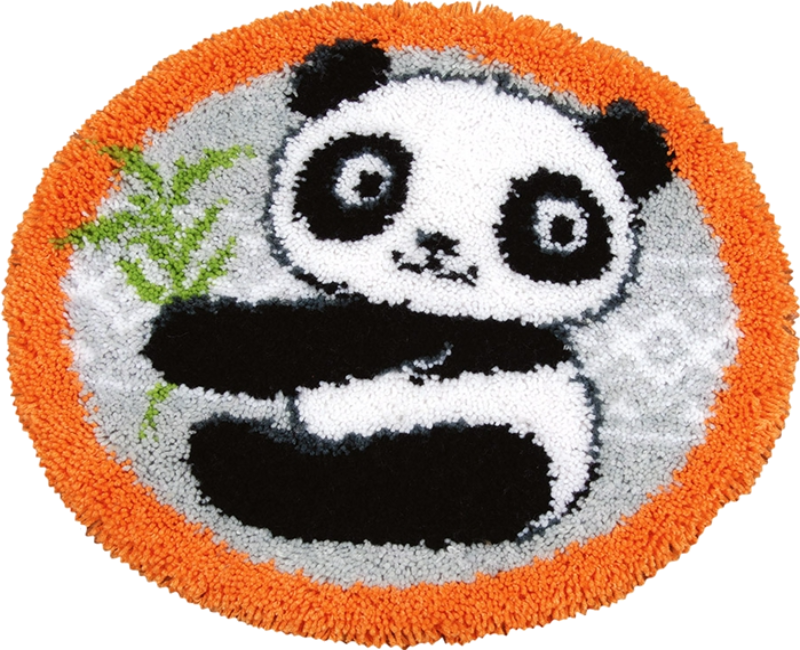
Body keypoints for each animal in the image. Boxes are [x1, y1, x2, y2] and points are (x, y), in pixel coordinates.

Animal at [143, 40, 673, 550]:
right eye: (365, 181)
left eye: (560, 227)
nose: (439, 243)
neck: (440, 309)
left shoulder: (429, 327)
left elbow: (320, 340)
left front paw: (182, 338)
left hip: (511, 450)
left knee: (389, 488)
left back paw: (227, 449)